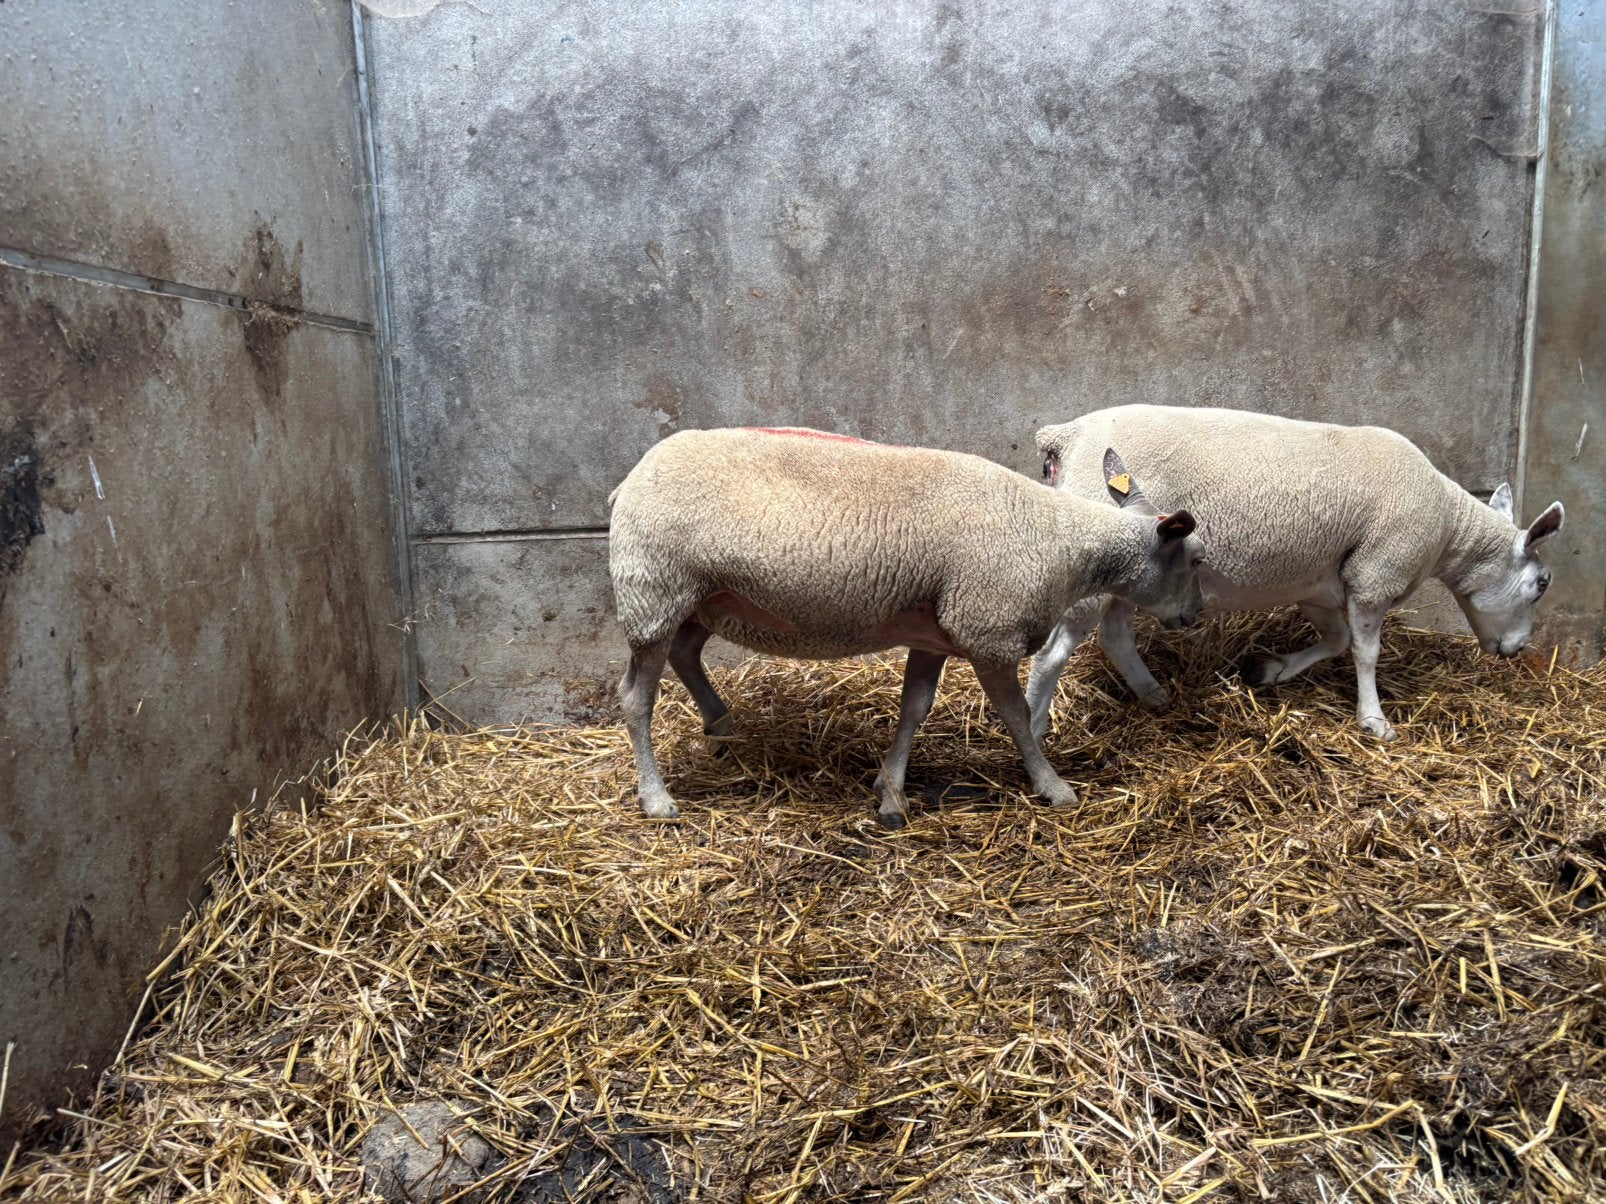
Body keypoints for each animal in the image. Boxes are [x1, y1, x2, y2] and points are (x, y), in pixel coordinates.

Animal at [607, 426, 1206, 827]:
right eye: (1197, 559)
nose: (1194, 617)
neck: (1065, 545)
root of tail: (627, 481)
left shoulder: (933, 635)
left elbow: (914, 709)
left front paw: (889, 791)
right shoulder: (987, 630)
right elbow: (1015, 716)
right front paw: (1052, 785)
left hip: (702, 598)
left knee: (685, 654)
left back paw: (720, 722)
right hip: (653, 588)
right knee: (636, 698)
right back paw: (656, 798)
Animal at [1026, 405, 1567, 743]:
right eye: (1542, 585)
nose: (1517, 650)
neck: (1448, 527)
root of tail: (1065, 437)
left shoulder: (1318, 583)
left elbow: (1337, 639)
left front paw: (1269, 671)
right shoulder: (1376, 574)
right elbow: (1365, 653)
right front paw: (1374, 720)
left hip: (1133, 572)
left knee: (1115, 636)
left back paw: (1153, 695)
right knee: (1051, 656)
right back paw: (1034, 731)